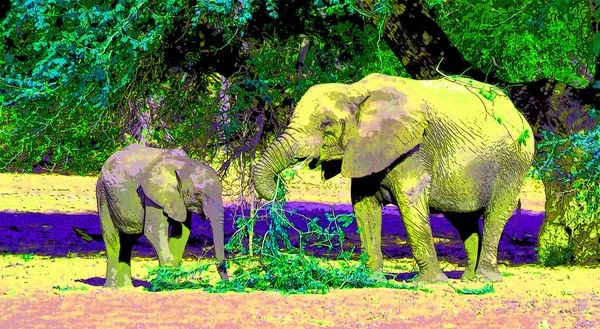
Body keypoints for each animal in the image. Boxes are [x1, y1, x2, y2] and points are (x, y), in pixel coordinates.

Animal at [95, 144, 229, 288]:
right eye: (197, 195)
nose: (226, 283)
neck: (182, 165)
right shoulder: (152, 196)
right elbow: (153, 231)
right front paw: (165, 284)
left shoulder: (179, 200)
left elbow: (181, 234)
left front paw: (171, 283)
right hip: (103, 194)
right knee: (112, 239)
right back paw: (111, 288)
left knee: (128, 241)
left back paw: (127, 288)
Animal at [253, 73, 536, 284]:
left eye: (326, 125)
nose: (279, 188)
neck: (354, 91)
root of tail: (518, 114)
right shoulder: (366, 149)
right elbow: (364, 207)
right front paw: (372, 279)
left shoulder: (413, 148)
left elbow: (410, 202)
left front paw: (430, 284)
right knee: (463, 221)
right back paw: (467, 279)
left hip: (513, 163)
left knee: (494, 215)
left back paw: (485, 280)